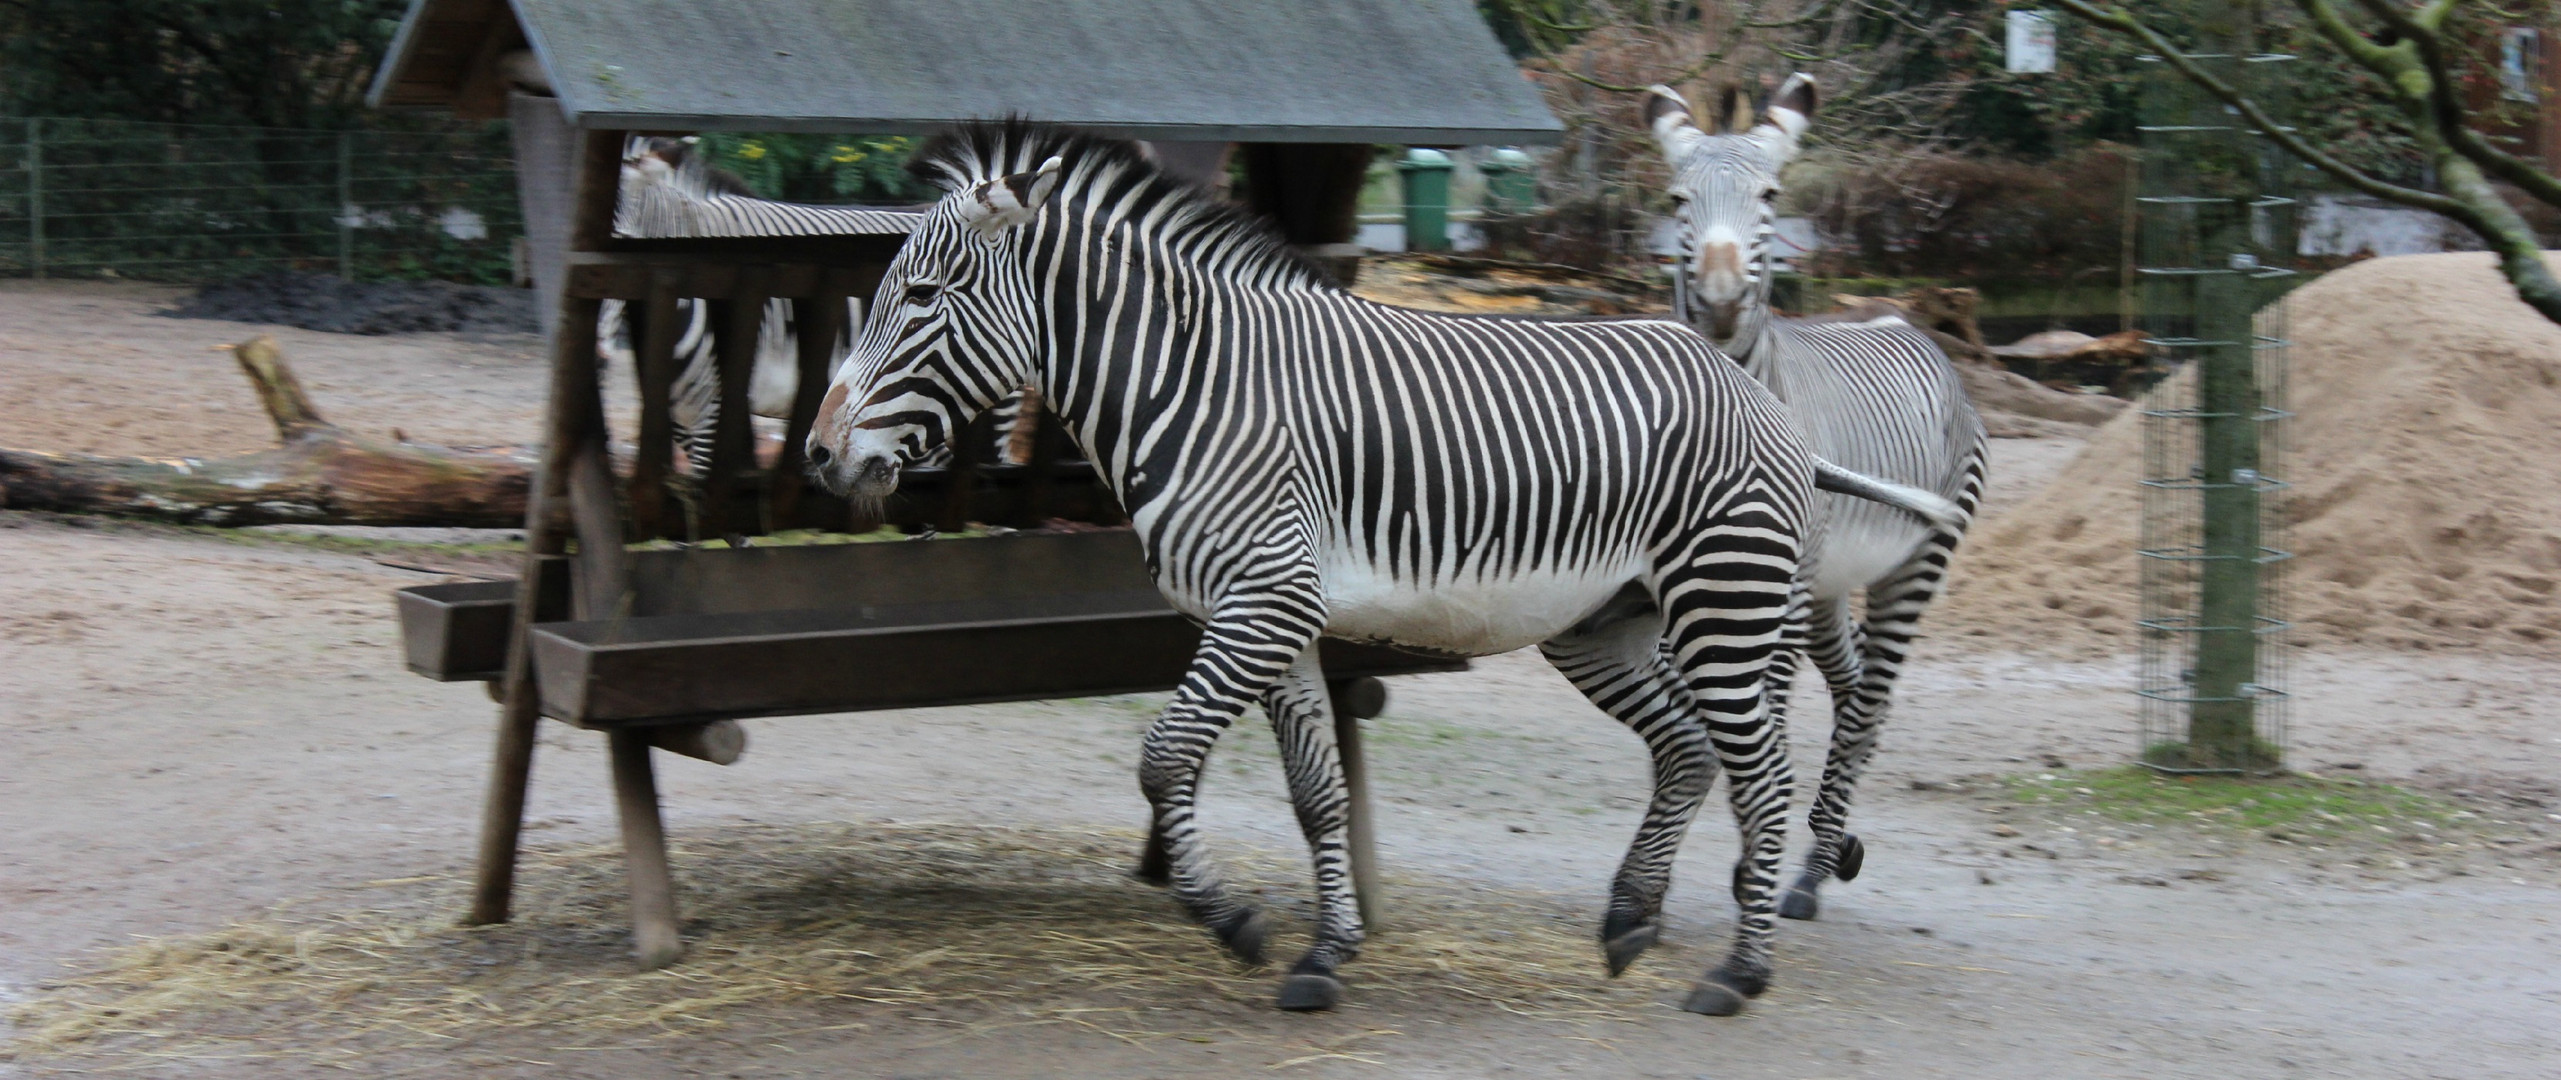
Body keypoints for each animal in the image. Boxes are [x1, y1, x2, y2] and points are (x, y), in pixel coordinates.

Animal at [799, 122, 1956, 1018]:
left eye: (921, 296)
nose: (814, 457)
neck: (1193, 384)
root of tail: (1757, 391)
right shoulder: (1273, 621)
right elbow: (1314, 794)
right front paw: (1324, 954)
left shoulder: (1262, 603)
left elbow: (1163, 761)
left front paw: (1233, 922)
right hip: (1603, 623)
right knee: (1685, 753)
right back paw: (1630, 921)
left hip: (1723, 602)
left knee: (1761, 777)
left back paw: (1739, 973)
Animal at [1639, 75, 1997, 921]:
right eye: (1675, 199)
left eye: (1770, 194)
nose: (1721, 300)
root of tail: (1908, 324)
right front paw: (1659, 888)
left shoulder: (1769, 584)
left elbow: (1758, 710)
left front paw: (1749, 873)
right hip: (1829, 585)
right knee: (1857, 680)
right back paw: (1832, 850)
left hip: (1909, 563)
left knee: (1870, 696)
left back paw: (1805, 877)